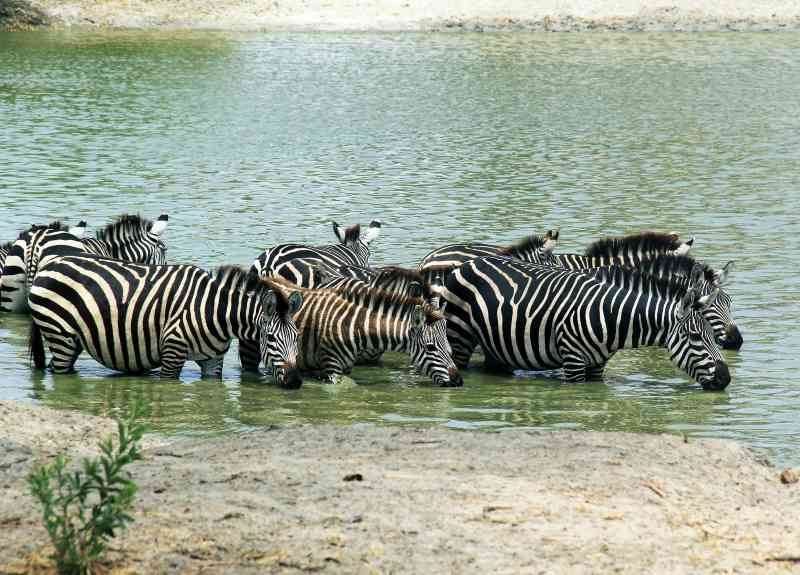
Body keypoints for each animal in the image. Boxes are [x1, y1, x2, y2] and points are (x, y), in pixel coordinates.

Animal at [28, 257, 304, 387]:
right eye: (271, 338)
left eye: (297, 337)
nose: (295, 382)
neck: (216, 311)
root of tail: (50, 264)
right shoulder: (172, 351)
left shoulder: (213, 361)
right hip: (60, 335)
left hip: (72, 339)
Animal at [265, 275, 463, 387]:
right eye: (431, 348)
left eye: (448, 346)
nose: (458, 381)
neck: (355, 326)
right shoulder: (332, 366)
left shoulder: (346, 367)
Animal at [439, 255, 730, 390]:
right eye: (695, 337)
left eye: (713, 337)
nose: (725, 379)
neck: (613, 316)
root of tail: (468, 262)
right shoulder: (573, 361)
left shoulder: (597, 365)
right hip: (460, 336)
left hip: (497, 344)